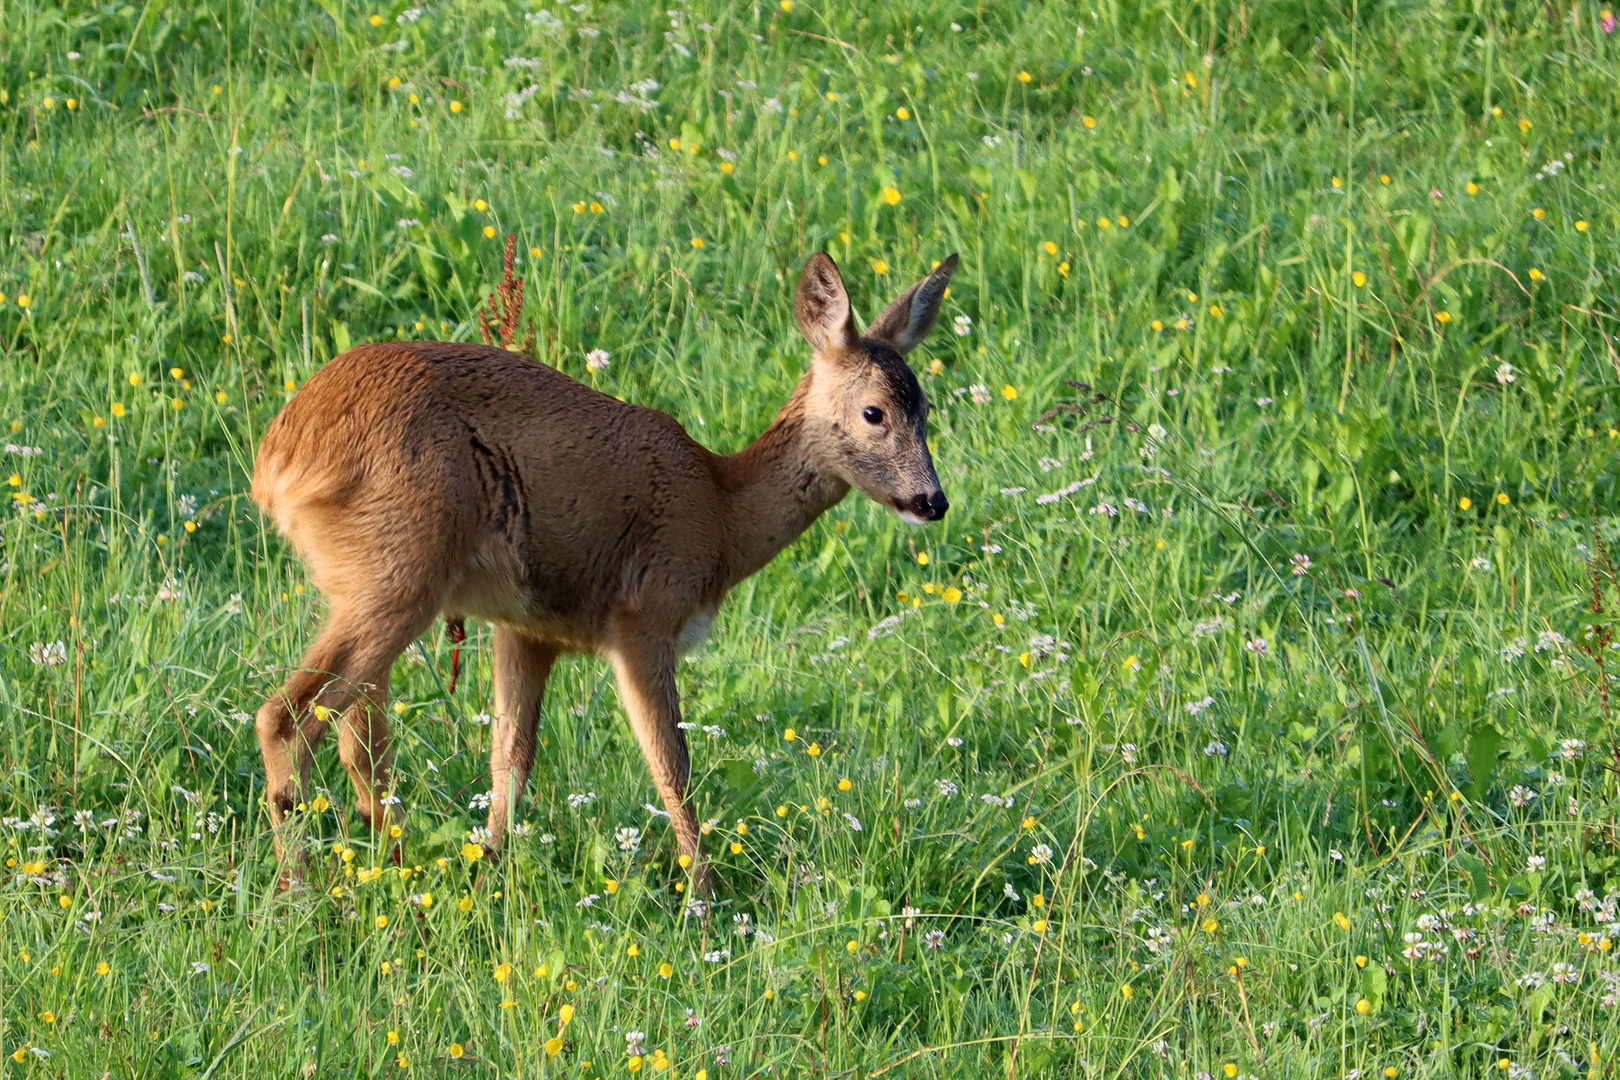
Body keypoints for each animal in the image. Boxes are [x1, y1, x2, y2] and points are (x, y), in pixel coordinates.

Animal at [247, 249, 952, 893]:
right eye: (874, 412)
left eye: (924, 408)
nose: (932, 501)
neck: (720, 513)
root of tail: (281, 457)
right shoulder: (645, 615)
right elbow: (672, 765)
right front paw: (705, 897)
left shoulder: (527, 626)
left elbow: (511, 756)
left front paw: (493, 870)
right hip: (398, 572)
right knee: (290, 719)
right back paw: (300, 888)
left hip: (371, 581)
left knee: (359, 732)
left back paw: (387, 866)